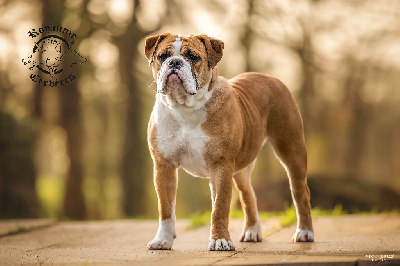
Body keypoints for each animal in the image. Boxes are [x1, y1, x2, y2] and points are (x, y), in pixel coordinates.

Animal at [145, 33, 314, 251]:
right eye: (162, 56)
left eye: (193, 57)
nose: (174, 62)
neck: (184, 108)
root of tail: (271, 78)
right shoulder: (164, 166)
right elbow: (165, 208)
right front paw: (163, 240)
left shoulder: (221, 165)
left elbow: (220, 207)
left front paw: (220, 240)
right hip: (241, 169)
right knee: (248, 194)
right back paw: (252, 231)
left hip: (292, 152)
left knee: (301, 192)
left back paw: (305, 232)